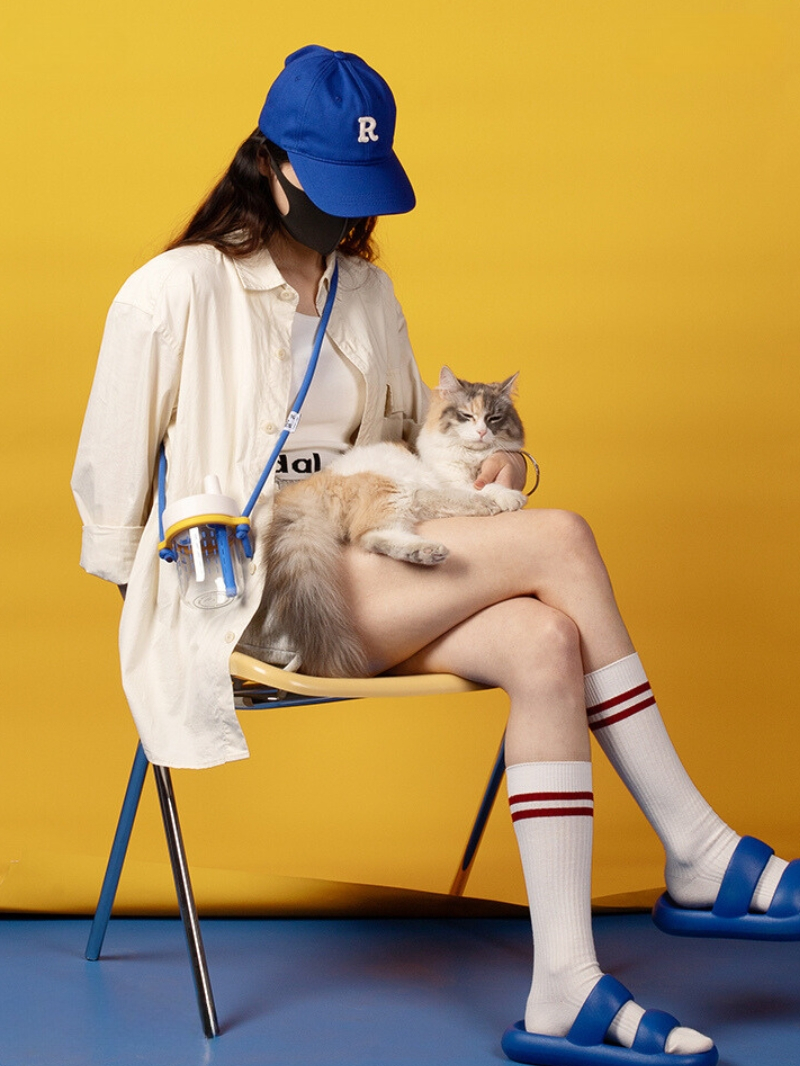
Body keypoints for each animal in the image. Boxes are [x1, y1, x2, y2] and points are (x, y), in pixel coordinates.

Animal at [260, 366, 527, 678]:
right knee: (372, 533)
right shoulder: (451, 480)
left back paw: (425, 552)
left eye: (494, 418)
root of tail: (312, 484)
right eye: (466, 415)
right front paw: (508, 497)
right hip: (396, 489)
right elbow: (483, 488)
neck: (472, 460)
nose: (482, 431)